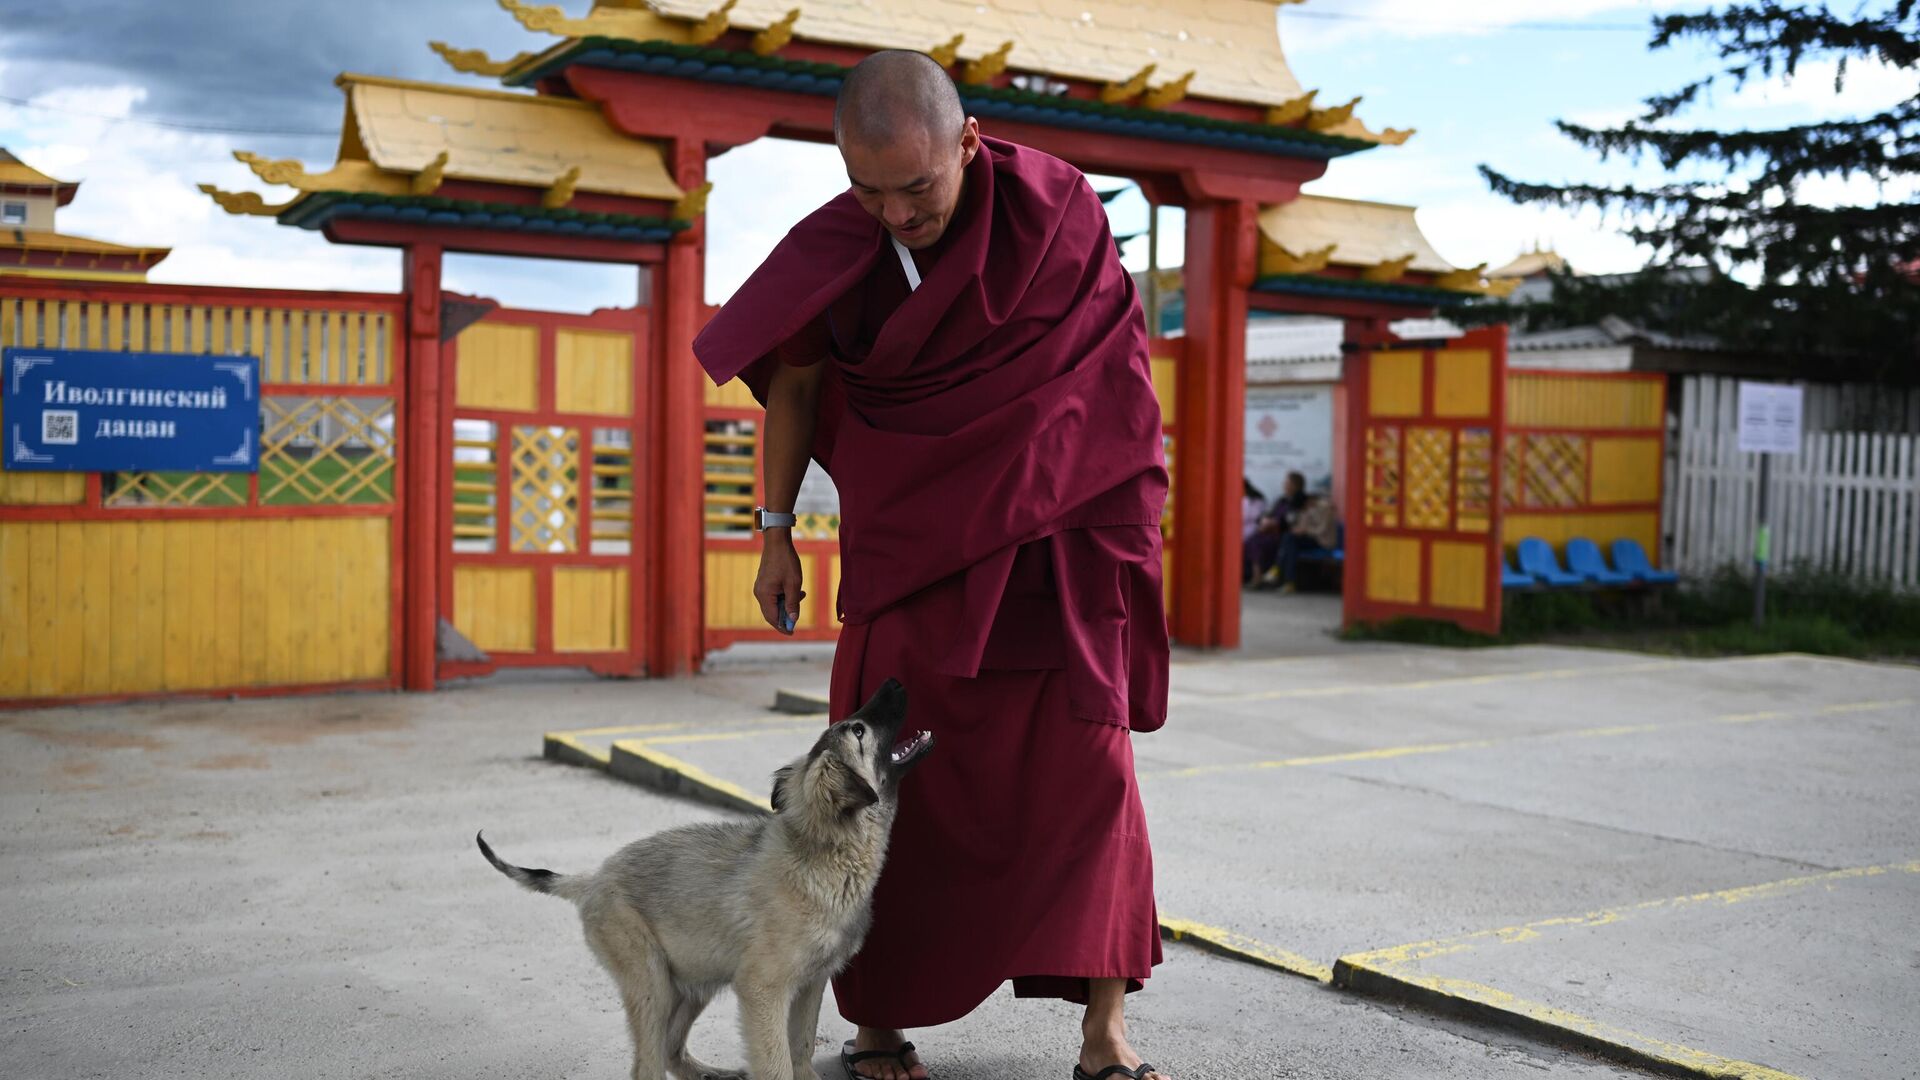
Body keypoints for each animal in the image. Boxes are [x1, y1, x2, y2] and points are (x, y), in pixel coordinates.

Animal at [480, 680, 929, 1076]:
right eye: (859, 731)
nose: (894, 682)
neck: (823, 851)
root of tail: (591, 878)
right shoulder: (763, 989)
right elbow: (777, 1064)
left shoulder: (810, 984)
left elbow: (801, 1052)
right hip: (652, 984)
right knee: (647, 1065)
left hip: (697, 977)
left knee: (670, 1050)